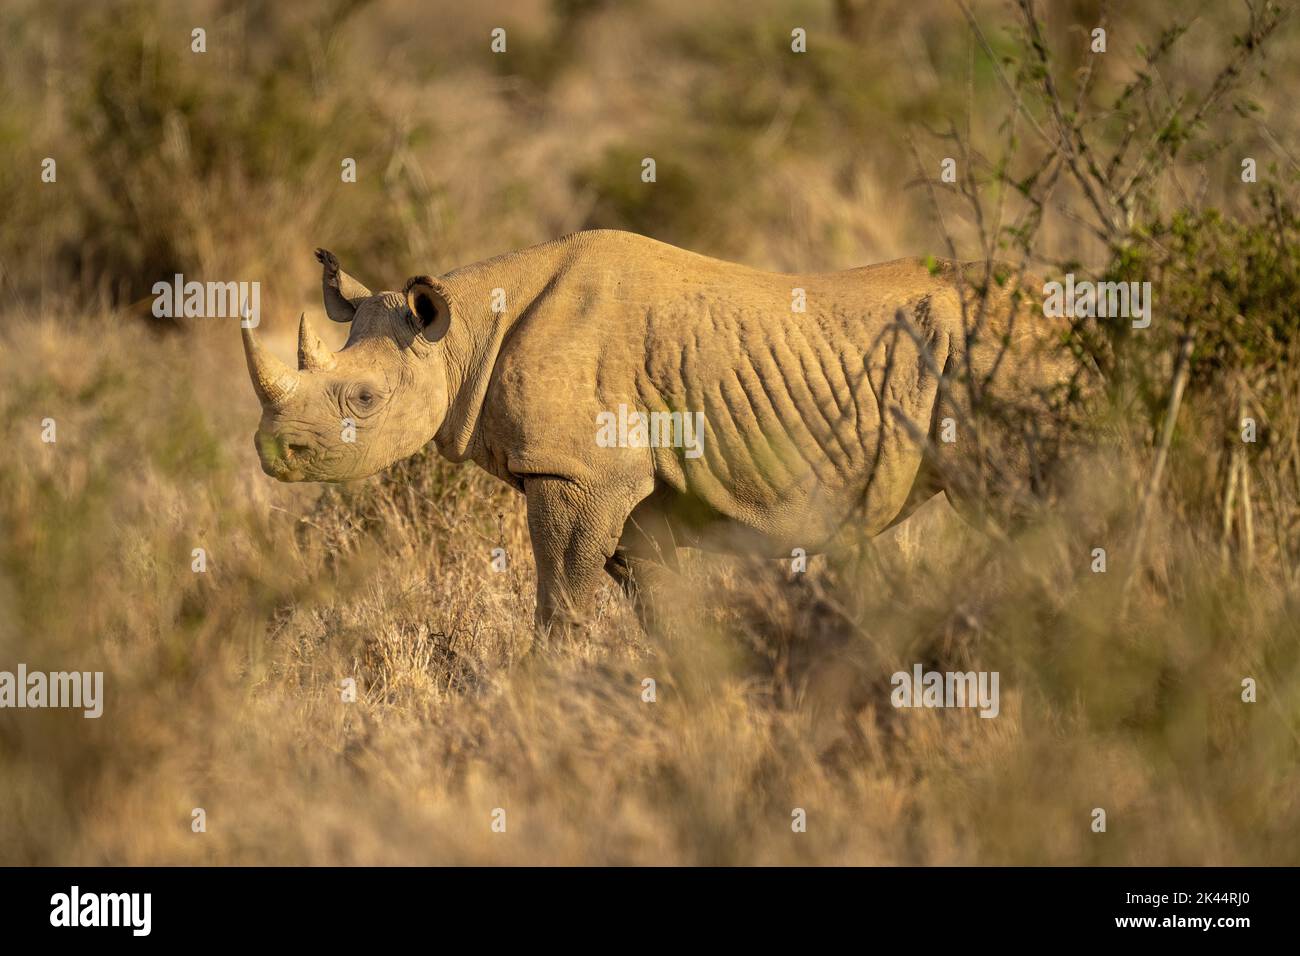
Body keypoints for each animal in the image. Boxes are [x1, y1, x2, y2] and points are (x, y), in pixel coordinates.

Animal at [243, 230, 1080, 631]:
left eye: (363, 400)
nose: (273, 451)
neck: (460, 335)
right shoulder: (632, 493)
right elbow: (660, 608)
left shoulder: (576, 472)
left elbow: (561, 596)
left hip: (998, 355)